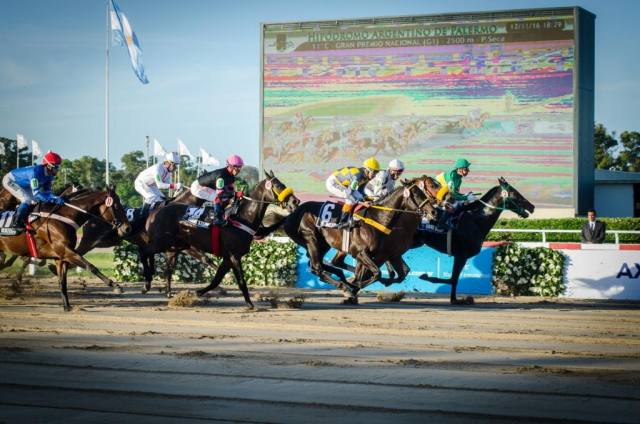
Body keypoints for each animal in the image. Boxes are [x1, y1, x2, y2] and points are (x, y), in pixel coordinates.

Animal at [0, 187, 131, 310]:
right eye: (116, 205)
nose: (127, 228)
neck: (63, 217)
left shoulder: (60, 257)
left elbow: (62, 282)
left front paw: (67, 306)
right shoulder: (66, 251)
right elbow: (91, 267)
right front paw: (116, 286)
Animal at [144, 171, 298, 306]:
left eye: (283, 184)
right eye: (278, 185)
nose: (295, 202)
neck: (242, 217)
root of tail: (157, 211)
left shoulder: (228, 258)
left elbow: (216, 279)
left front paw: (198, 292)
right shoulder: (234, 255)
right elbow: (241, 280)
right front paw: (250, 304)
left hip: (175, 245)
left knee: (161, 261)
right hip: (163, 241)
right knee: (145, 251)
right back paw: (147, 283)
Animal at [416, 176, 536, 304]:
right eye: (514, 192)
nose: (532, 207)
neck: (476, 219)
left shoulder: (461, 256)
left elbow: (453, 279)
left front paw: (455, 299)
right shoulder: (461, 255)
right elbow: (453, 279)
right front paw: (426, 277)